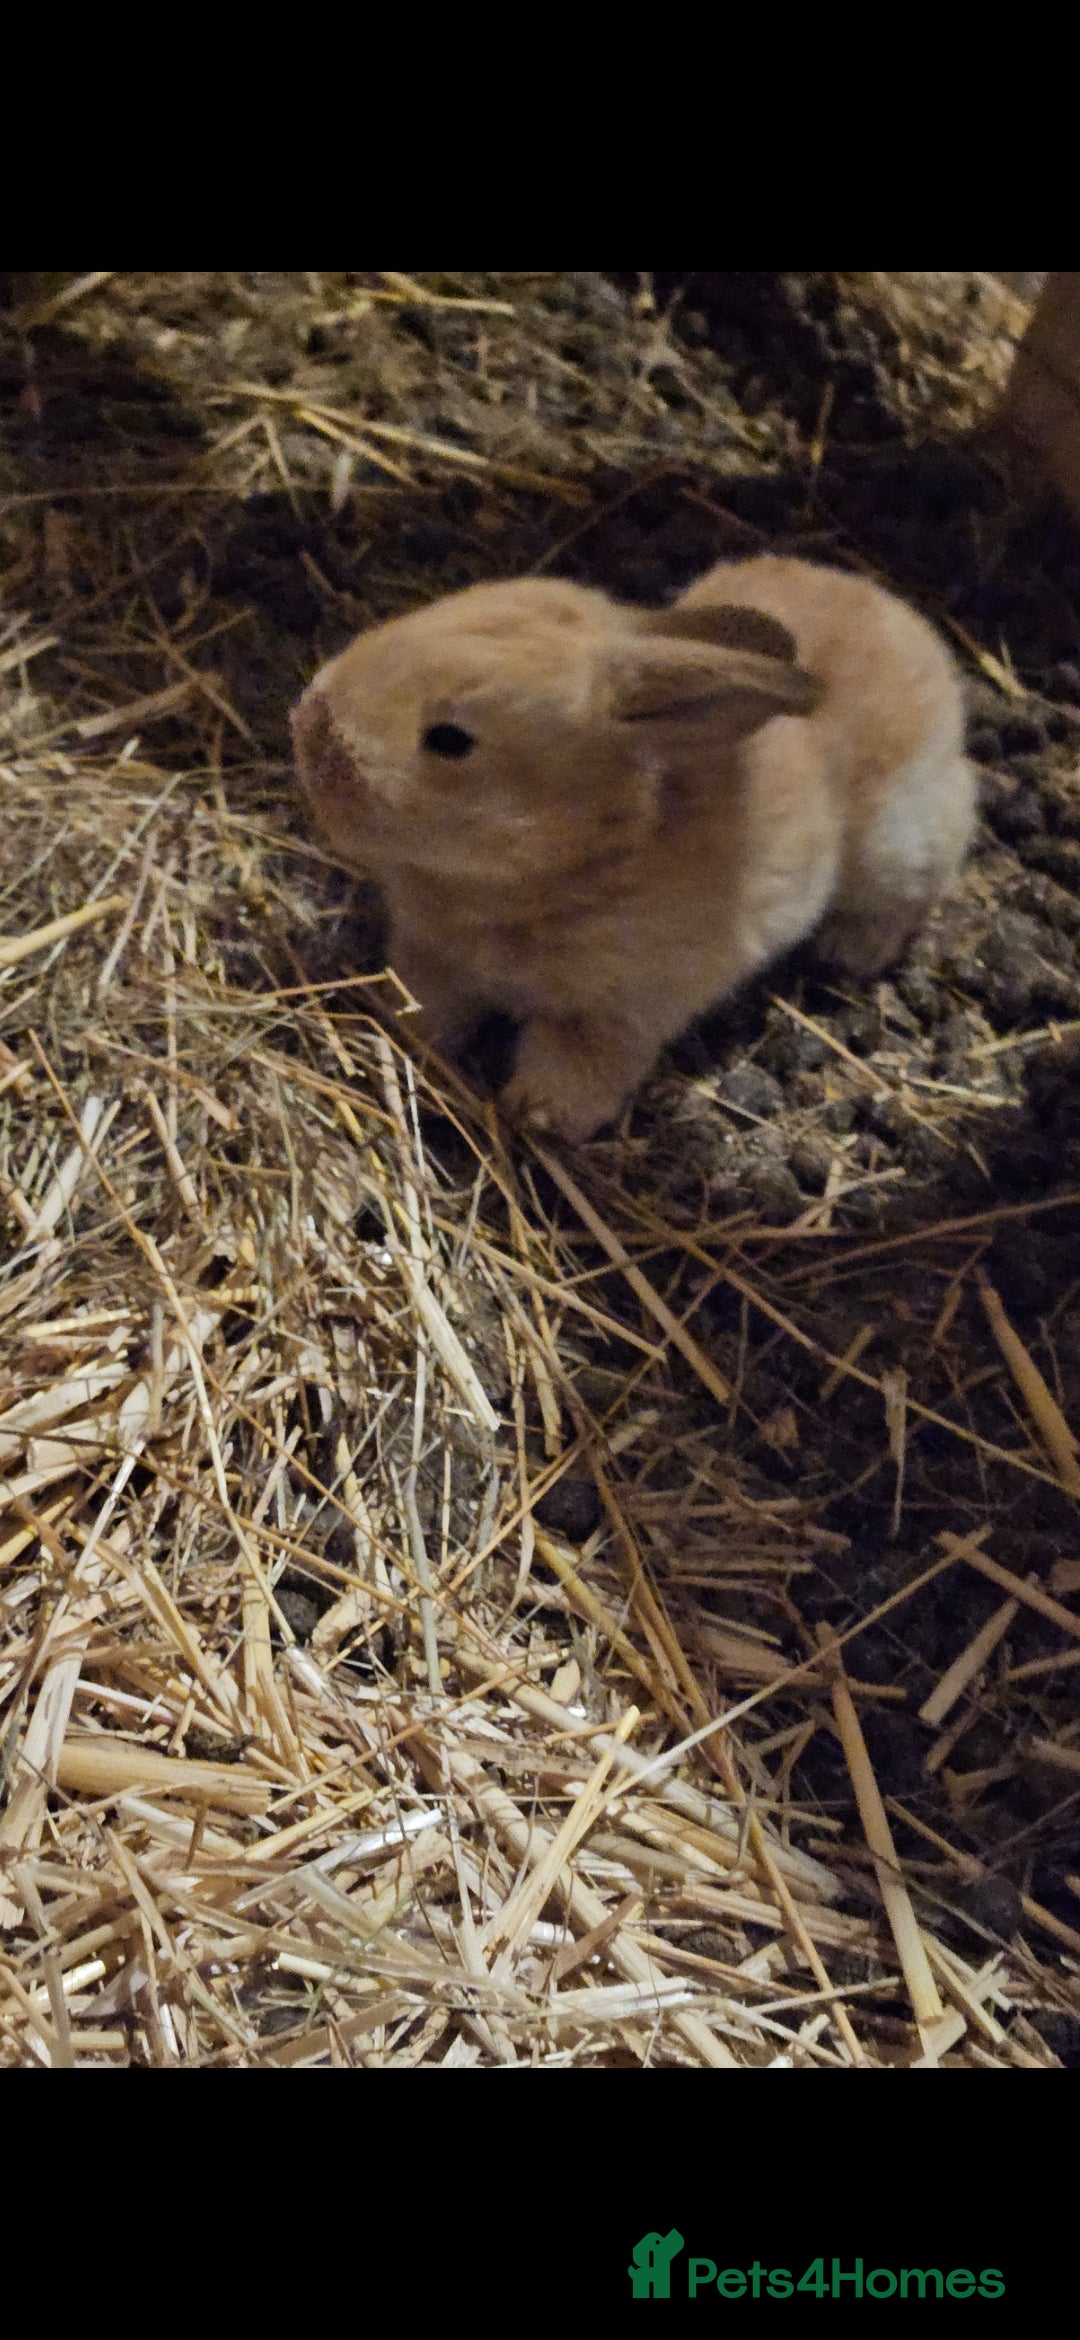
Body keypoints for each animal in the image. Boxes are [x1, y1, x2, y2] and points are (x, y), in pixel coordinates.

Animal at [291, 559, 974, 1144]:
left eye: (450, 740)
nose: (309, 723)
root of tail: (907, 625)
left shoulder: (619, 1012)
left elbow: (583, 1063)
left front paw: (540, 1115)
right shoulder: (433, 960)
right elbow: (422, 1006)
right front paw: (400, 1028)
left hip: (897, 844)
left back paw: (851, 950)